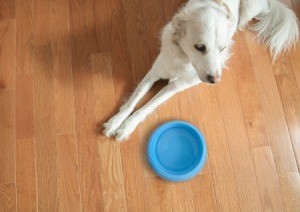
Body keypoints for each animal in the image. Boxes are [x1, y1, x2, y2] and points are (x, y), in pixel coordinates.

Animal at [102, 0, 298, 142]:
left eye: (222, 48)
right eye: (200, 47)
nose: (214, 80)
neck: (184, 59)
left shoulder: (176, 86)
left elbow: (146, 107)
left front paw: (127, 127)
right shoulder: (154, 72)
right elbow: (133, 100)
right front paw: (115, 121)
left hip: (249, 8)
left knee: (248, 18)